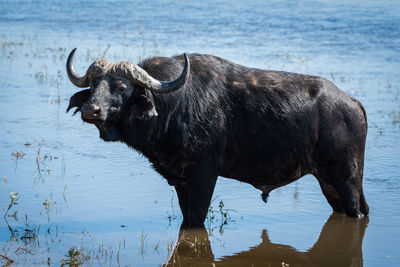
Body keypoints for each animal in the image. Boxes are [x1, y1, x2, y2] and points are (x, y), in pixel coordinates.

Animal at [65, 48, 368, 228]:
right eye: (94, 84)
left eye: (120, 87)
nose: (90, 109)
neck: (174, 107)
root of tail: (352, 103)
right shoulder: (181, 180)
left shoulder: (204, 174)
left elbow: (196, 217)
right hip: (329, 182)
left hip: (347, 177)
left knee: (358, 210)